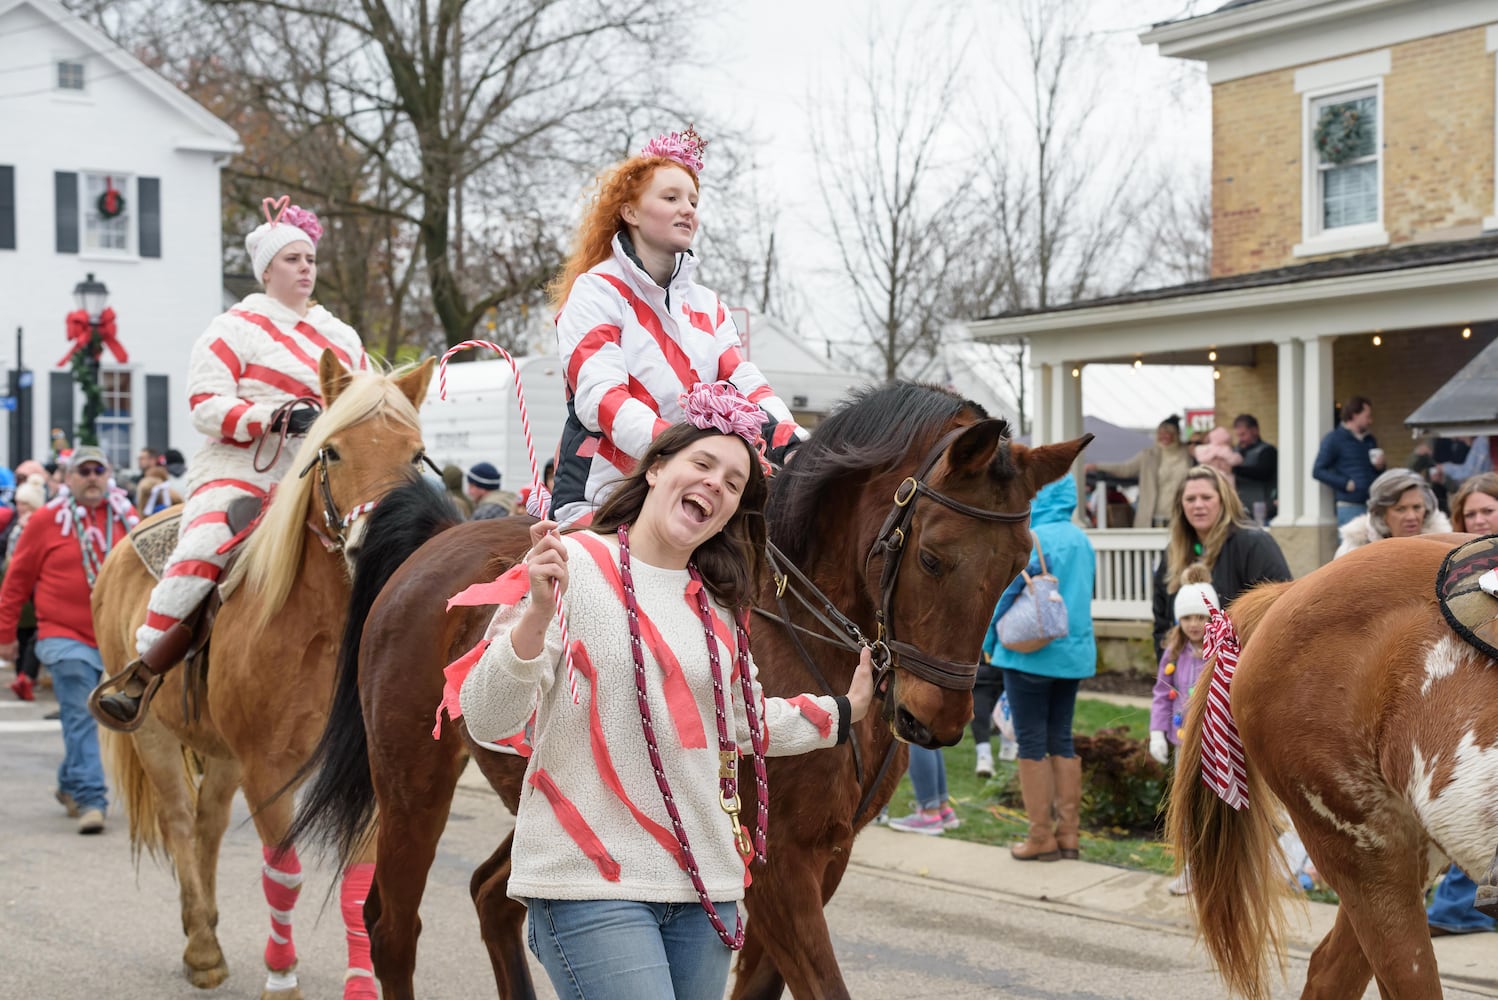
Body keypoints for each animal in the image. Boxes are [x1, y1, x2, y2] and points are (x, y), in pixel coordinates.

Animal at [92, 354, 434, 999]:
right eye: (332, 451)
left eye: (416, 453)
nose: (381, 542)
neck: (327, 631)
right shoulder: (269, 768)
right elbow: (285, 875)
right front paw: (281, 977)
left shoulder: (367, 766)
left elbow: (360, 880)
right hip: (155, 736)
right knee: (180, 821)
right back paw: (202, 949)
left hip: (222, 753)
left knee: (208, 824)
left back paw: (202, 926)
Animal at [289, 378, 1090, 994]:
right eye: (931, 556)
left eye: (1018, 563)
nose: (937, 722)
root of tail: (436, 541)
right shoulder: (776, 869)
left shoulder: (823, 859)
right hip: (413, 785)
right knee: (392, 928)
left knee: (494, 897)